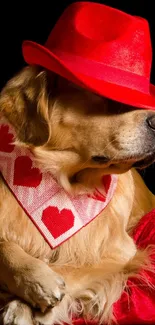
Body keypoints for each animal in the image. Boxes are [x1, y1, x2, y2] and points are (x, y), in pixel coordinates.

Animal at [0, 2, 155, 324]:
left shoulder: (120, 250)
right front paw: (33, 279)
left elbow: (75, 265)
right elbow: (3, 245)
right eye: (108, 98)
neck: (60, 182)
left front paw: (29, 301)